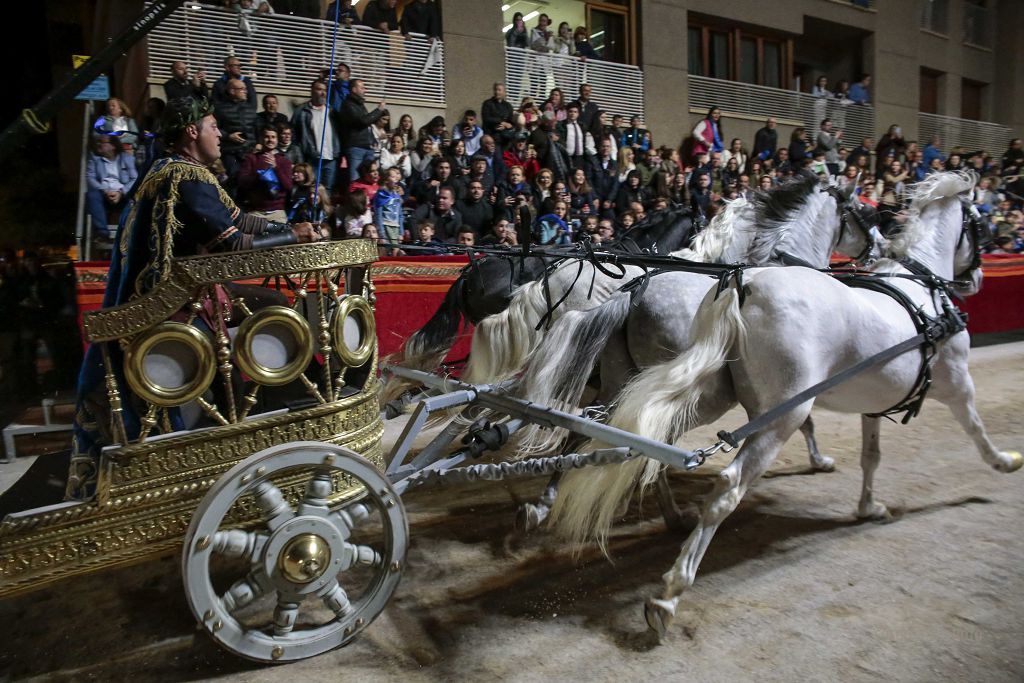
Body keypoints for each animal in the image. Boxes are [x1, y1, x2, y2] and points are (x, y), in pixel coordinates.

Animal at [548, 169, 1019, 634]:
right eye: (866, 212)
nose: (976, 279)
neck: (921, 293)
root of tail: (742, 285)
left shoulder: (873, 400)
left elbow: (872, 455)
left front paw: (868, 505)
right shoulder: (956, 382)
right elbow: (976, 427)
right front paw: (1004, 461)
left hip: (693, 394)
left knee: (623, 439)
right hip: (779, 412)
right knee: (722, 483)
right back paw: (668, 592)